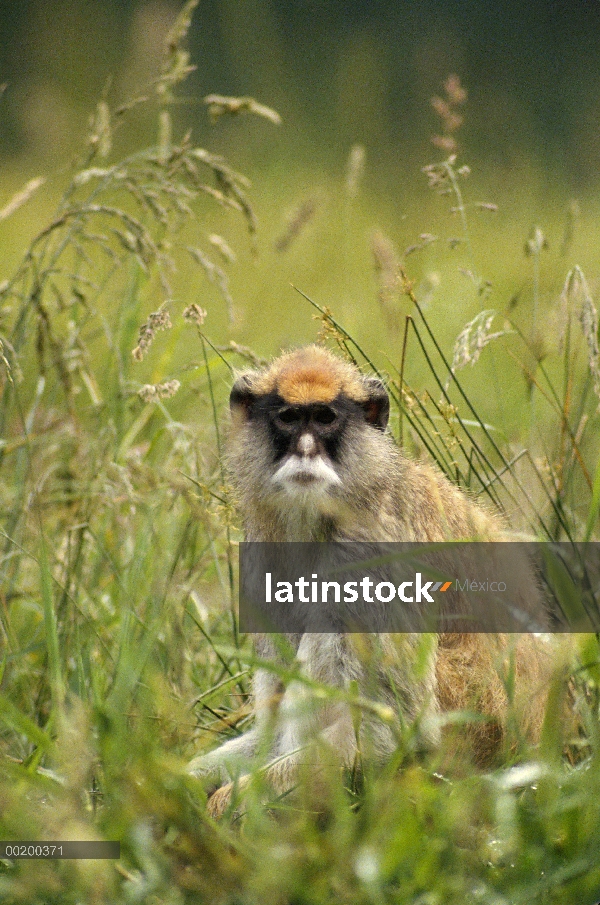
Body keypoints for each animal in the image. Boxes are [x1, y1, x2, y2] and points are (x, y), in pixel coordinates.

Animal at [190, 342, 560, 816]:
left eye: (325, 418)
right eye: (289, 418)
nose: (306, 450)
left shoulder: (370, 556)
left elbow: (395, 729)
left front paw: (221, 808)